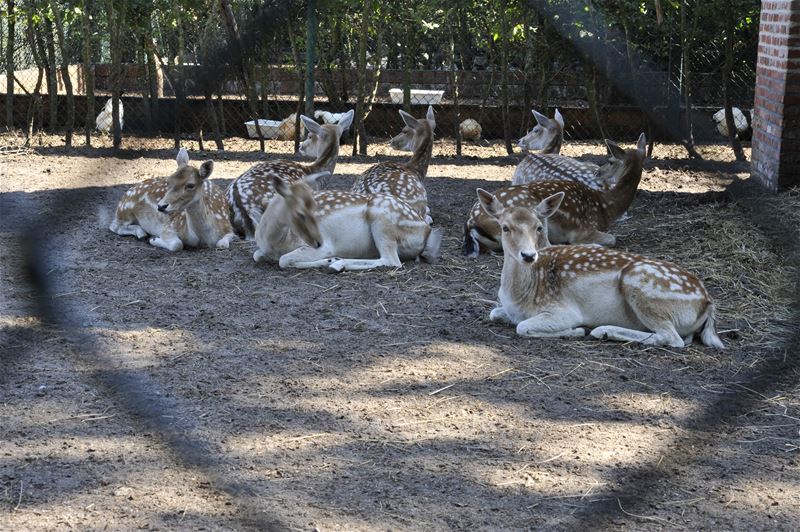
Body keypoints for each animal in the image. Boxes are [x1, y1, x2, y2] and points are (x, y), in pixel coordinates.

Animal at [108, 148, 238, 251]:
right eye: (168, 180)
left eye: (190, 185)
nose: (161, 206)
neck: (205, 238)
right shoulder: (168, 226)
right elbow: (177, 244)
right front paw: (153, 239)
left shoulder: (228, 227)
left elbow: (222, 244)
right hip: (125, 210)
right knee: (114, 226)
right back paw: (141, 233)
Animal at [253, 172, 444, 272]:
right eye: (300, 213)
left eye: (314, 207)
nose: (318, 241)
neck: (274, 241)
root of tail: (426, 231)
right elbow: (257, 255)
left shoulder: (324, 246)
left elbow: (284, 260)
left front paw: (329, 260)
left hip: (383, 221)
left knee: (391, 260)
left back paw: (338, 264)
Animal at [466, 133, 648, 258]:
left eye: (610, 161)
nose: (598, 172)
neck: (605, 207)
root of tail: (471, 223)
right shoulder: (583, 229)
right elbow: (612, 238)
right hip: (533, 209)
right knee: (544, 246)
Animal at [476, 188, 724, 350]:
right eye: (505, 227)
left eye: (539, 227)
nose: (528, 255)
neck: (519, 297)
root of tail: (707, 302)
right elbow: (494, 313)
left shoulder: (562, 311)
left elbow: (523, 327)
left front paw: (576, 331)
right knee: (682, 338)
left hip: (640, 285)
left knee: (671, 338)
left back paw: (601, 331)